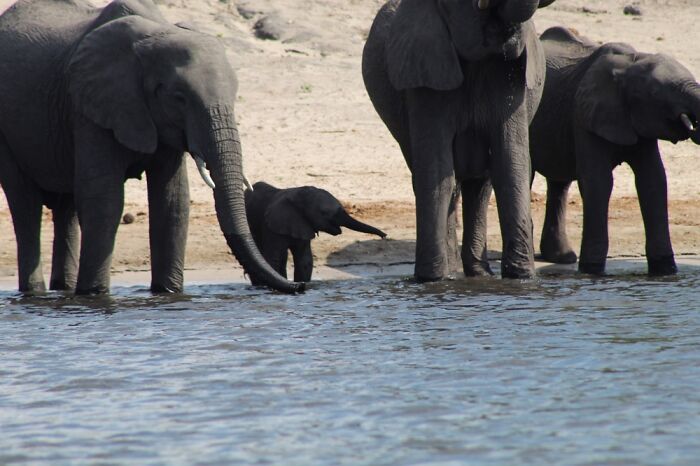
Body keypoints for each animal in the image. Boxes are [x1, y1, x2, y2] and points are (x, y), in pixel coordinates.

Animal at [0, 0, 303, 294]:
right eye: (179, 98)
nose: (299, 286)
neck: (156, 33)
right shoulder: (91, 107)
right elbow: (104, 200)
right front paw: (94, 294)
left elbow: (172, 201)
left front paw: (167, 293)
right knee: (25, 207)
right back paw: (35, 292)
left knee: (66, 208)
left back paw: (62, 288)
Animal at [244, 182, 387, 282]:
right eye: (324, 213)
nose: (384, 236)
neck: (298, 195)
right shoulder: (272, 225)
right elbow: (274, 258)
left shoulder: (303, 225)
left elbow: (305, 260)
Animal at [362, 0, 557, 282]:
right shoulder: (425, 73)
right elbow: (436, 172)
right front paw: (432, 280)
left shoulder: (511, 78)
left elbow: (510, 166)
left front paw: (521, 277)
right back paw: (452, 270)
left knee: (481, 185)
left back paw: (479, 273)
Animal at [530, 27, 700, 275]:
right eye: (655, 92)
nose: (694, 124)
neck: (631, 64)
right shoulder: (584, 115)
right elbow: (598, 182)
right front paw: (591, 271)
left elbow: (653, 180)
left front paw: (665, 270)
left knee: (559, 183)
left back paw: (563, 258)